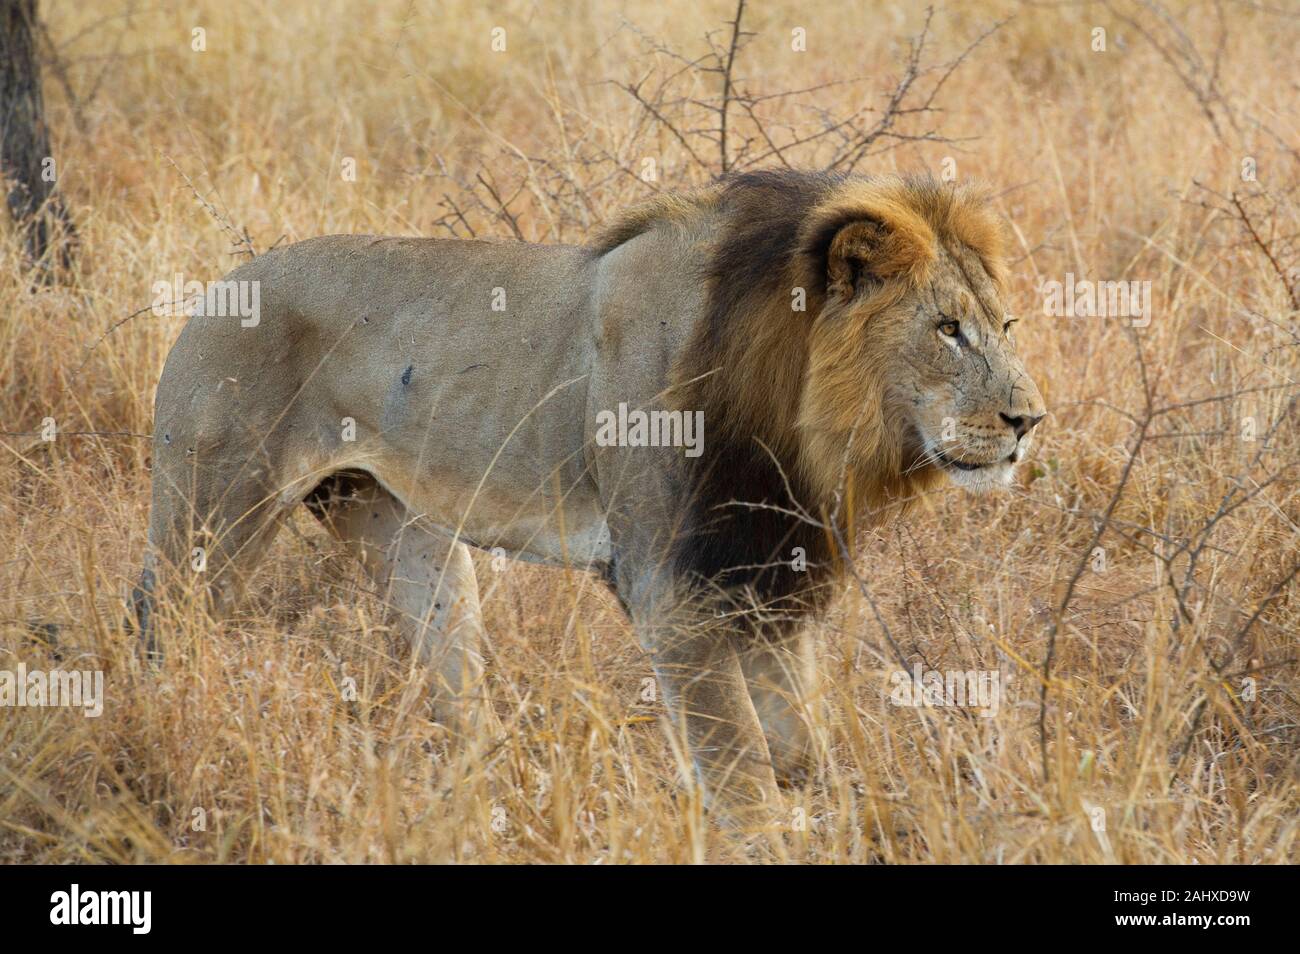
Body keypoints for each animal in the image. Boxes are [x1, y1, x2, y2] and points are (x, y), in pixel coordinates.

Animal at [131, 170, 1045, 821]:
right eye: (947, 330)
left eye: (1004, 327)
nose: (1030, 420)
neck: (798, 418)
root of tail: (221, 288)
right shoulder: (672, 587)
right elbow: (740, 773)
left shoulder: (766, 569)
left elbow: (795, 750)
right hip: (214, 512)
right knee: (157, 622)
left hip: (399, 529)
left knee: (454, 684)